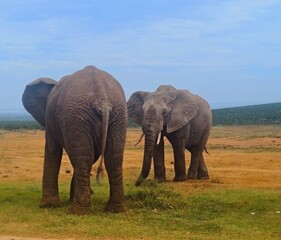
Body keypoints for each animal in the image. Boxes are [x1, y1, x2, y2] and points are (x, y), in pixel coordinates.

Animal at [21, 65, 127, 214]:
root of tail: (102, 100)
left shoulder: (50, 118)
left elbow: (52, 150)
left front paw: (48, 205)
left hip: (76, 117)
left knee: (83, 158)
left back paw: (77, 211)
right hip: (117, 115)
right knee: (112, 157)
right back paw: (114, 209)